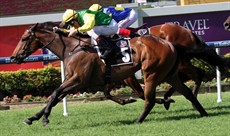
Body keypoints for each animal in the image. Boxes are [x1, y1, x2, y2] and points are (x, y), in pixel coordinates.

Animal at [10, 21, 207, 126]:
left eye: (24, 38)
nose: (13, 57)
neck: (74, 48)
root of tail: (170, 44)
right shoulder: (79, 80)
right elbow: (56, 96)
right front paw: (33, 117)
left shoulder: (78, 80)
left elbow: (56, 93)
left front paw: (43, 119)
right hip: (169, 74)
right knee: (187, 90)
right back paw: (201, 112)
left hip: (152, 73)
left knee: (150, 98)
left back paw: (140, 119)